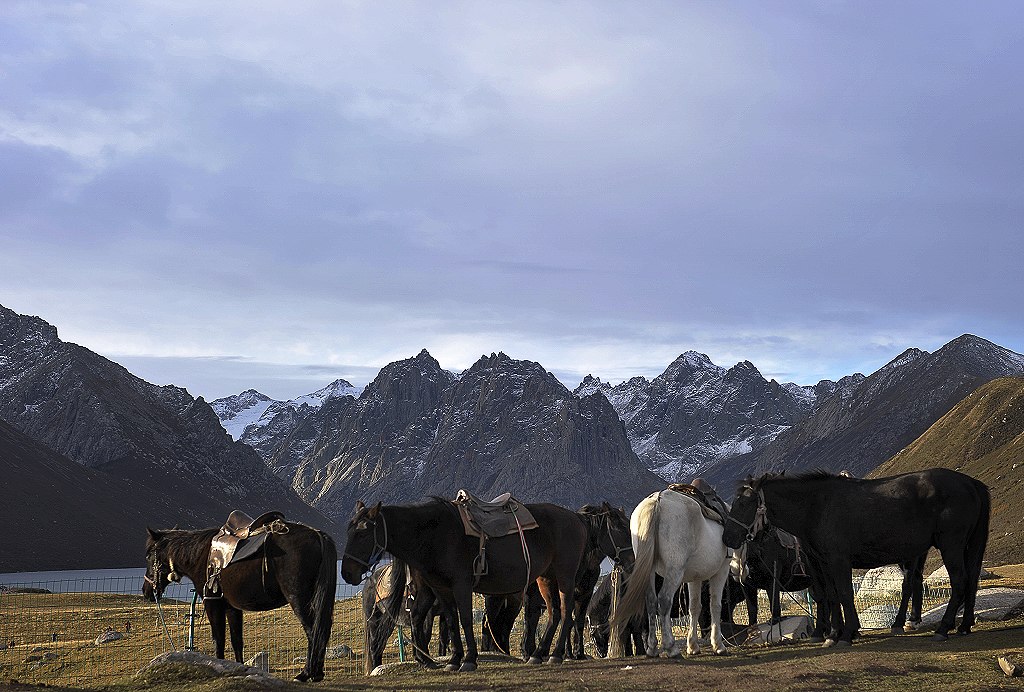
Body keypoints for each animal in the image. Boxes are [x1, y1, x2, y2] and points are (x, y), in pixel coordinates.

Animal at [142, 522, 335, 679]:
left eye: (148, 556)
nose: (146, 591)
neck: (200, 557)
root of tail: (317, 534)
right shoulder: (232, 608)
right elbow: (237, 641)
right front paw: (239, 667)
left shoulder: (213, 604)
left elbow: (218, 640)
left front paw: (219, 665)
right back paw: (316, 673)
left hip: (300, 600)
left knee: (313, 631)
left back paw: (307, 674)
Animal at [342, 497, 589, 671]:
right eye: (349, 531)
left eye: (363, 533)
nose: (346, 573)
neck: (435, 535)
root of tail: (575, 519)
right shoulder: (441, 589)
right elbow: (452, 621)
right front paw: (453, 659)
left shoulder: (461, 585)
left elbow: (466, 620)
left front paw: (469, 659)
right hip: (545, 577)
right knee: (554, 612)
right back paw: (539, 654)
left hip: (565, 576)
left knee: (565, 611)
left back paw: (555, 654)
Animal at [606, 489, 737, 655]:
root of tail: (657, 501)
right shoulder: (721, 571)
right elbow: (715, 605)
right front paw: (718, 645)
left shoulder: (695, 578)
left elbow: (694, 607)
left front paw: (692, 645)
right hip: (674, 571)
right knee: (663, 600)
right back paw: (670, 646)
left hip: (650, 571)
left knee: (651, 601)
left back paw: (652, 648)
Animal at [720, 466, 991, 646]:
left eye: (743, 504)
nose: (728, 538)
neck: (815, 507)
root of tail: (971, 483)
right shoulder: (822, 563)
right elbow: (830, 596)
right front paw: (833, 634)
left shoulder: (838, 560)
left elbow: (843, 595)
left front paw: (847, 634)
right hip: (959, 547)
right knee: (963, 581)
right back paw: (962, 625)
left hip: (950, 545)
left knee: (957, 581)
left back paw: (942, 628)